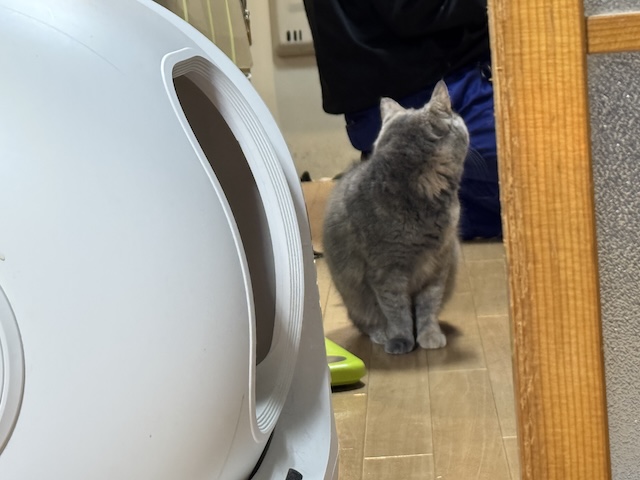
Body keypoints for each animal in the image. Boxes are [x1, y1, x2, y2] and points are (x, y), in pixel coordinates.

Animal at [322, 81, 468, 355]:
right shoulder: (386, 271)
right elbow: (396, 310)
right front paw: (401, 339)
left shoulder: (439, 264)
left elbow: (429, 306)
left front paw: (429, 336)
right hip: (353, 298)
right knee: (364, 321)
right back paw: (381, 334)